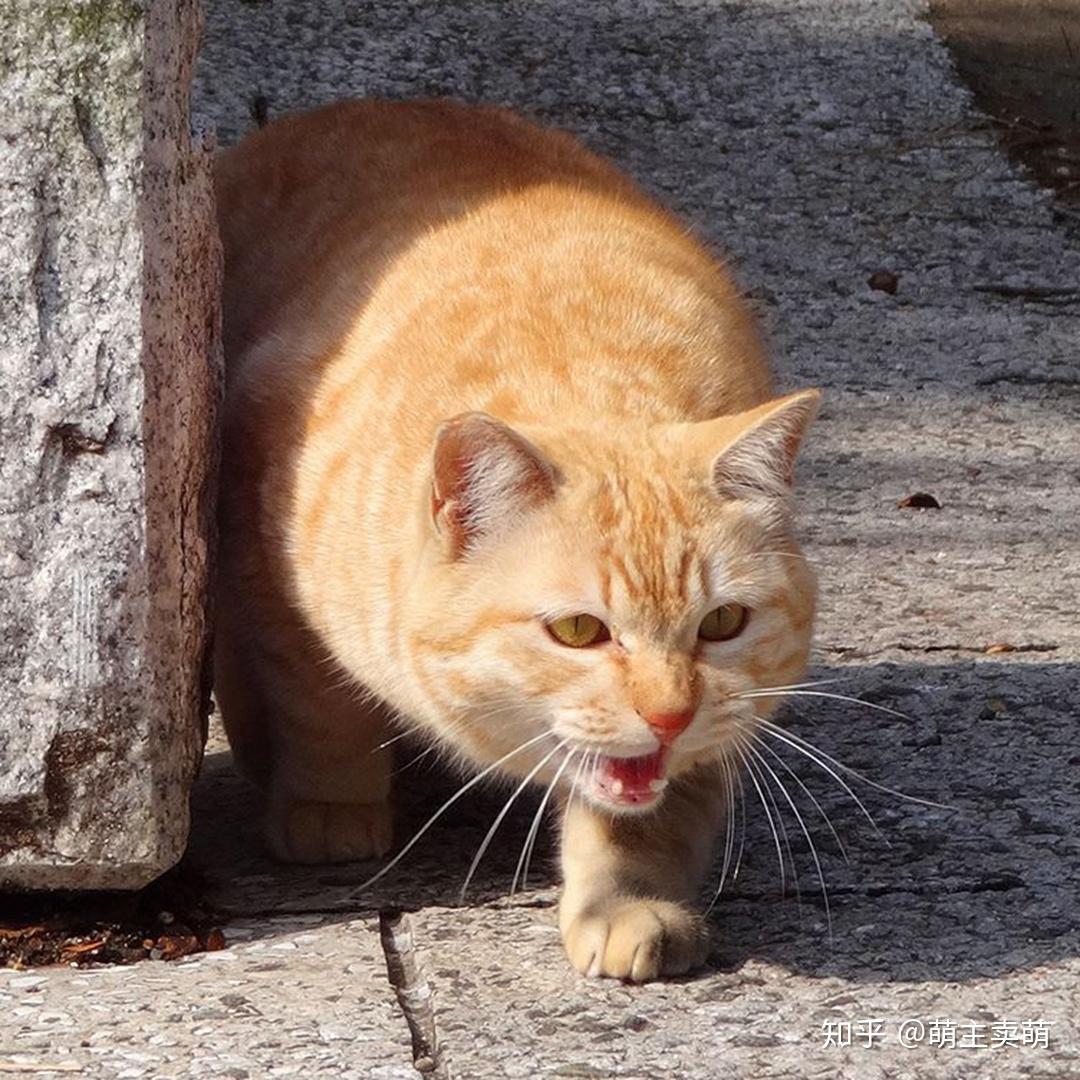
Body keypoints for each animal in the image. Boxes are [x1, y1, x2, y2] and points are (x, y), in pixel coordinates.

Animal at [210, 99, 816, 980]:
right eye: (579, 631)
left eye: (724, 623)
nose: (671, 715)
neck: (587, 377)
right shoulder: (269, 543)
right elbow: (319, 702)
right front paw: (330, 805)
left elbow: (642, 820)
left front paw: (628, 906)